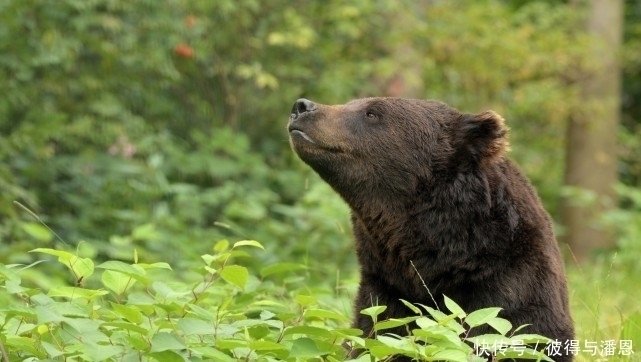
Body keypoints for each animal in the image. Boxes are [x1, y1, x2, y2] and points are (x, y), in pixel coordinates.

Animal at [288, 97, 572, 360]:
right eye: (351, 102)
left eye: (372, 112)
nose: (302, 106)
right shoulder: (386, 289)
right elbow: (375, 334)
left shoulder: (510, 288)